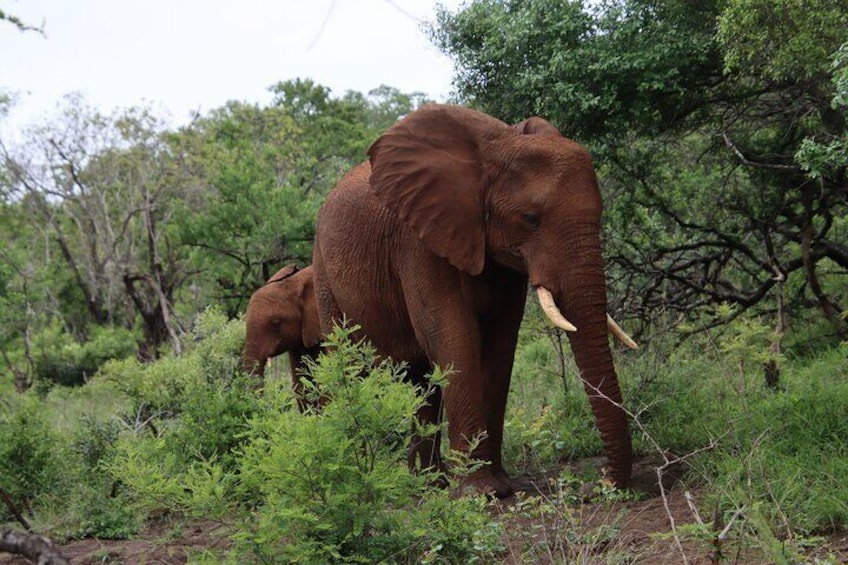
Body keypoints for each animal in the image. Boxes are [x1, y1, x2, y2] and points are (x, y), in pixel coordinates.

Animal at [314, 103, 636, 496]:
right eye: (531, 219)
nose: (600, 483)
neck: (498, 146)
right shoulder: (417, 240)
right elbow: (450, 334)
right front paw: (481, 493)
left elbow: (501, 343)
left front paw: (500, 485)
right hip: (323, 274)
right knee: (346, 365)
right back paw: (357, 478)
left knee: (422, 380)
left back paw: (429, 484)